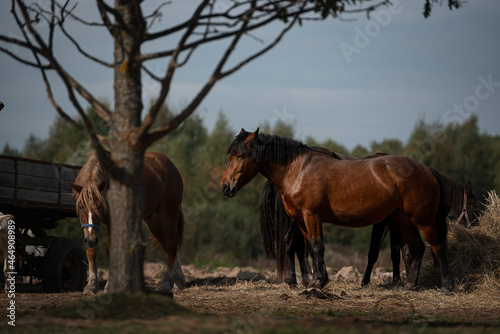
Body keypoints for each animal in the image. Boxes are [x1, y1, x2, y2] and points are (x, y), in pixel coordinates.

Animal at [70, 150, 186, 294]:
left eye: (100, 206)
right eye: (81, 207)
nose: (91, 240)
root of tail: (169, 164)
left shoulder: (112, 223)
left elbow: (111, 251)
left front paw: (109, 285)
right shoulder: (90, 230)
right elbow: (91, 252)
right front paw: (90, 286)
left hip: (169, 213)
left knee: (171, 245)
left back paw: (166, 284)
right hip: (154, 220)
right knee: (170, 247)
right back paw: (177, 281)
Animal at [222, 129, 454, 290]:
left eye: (240, 155)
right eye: (230, 155)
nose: (226, 186)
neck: (298, 169)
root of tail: (427, 170)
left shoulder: (312, 216)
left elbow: (317, 247)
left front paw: (317, 283)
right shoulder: (302, 219)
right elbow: (310, 247)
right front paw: (317, 281)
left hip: (423, 220)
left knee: (437, 246)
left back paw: (446, 286)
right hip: (403, 220)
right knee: (417, 248)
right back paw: (409, 286)